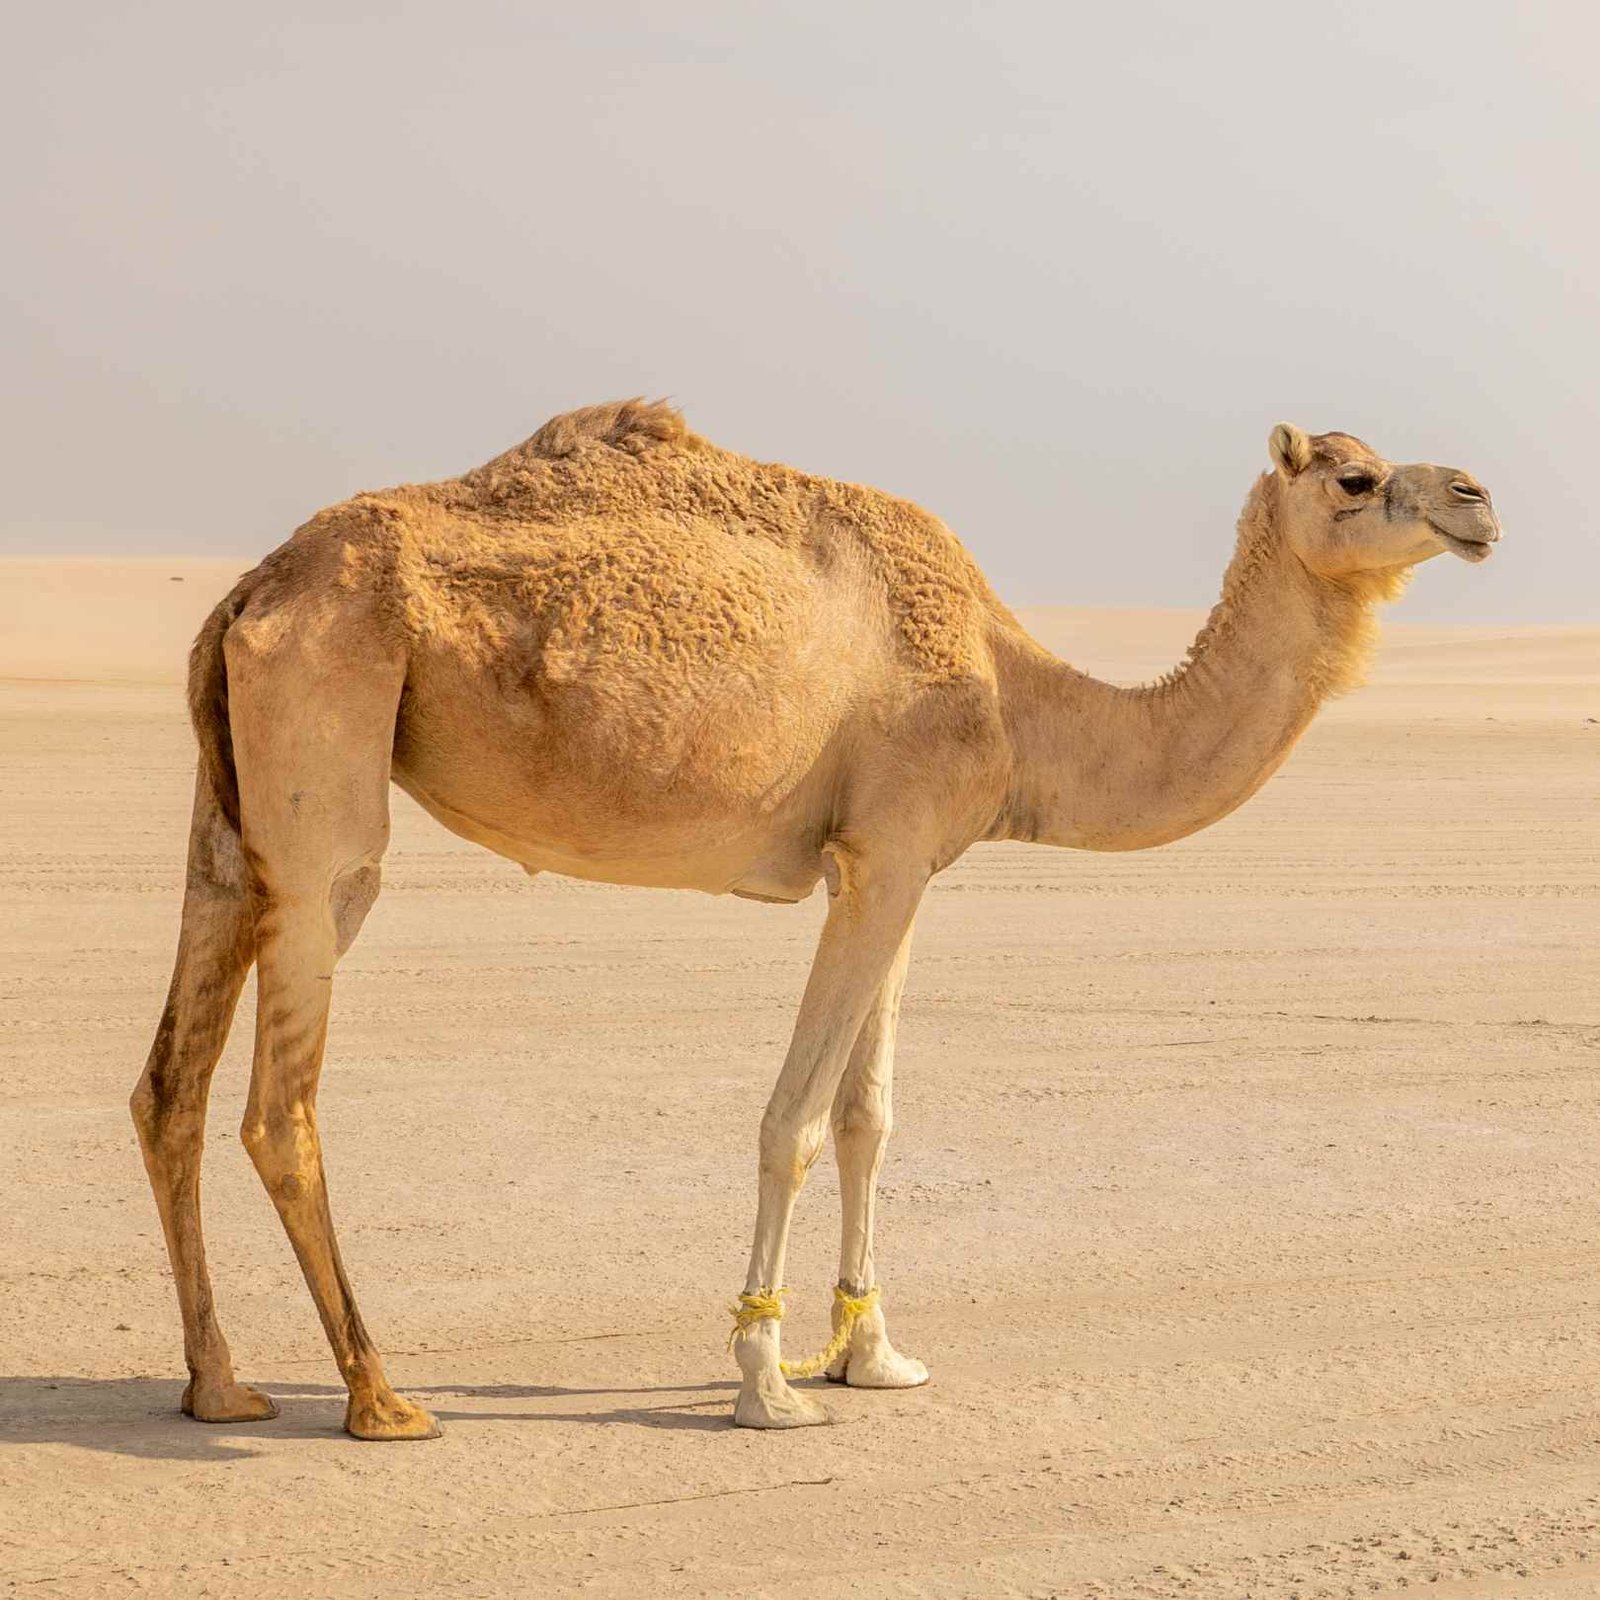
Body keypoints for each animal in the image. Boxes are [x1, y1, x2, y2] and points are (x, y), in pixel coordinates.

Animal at [130, 402, 1500, 1437]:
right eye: (1355, 475)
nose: (1479, 497)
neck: (1019, 701)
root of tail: (255, 588)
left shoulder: (888, 867)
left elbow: (866, 1114)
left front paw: (872, 1351)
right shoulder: (887, 850)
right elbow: (790, 1120)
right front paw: (764, 1381)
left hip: (230, 802)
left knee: (171, 1079)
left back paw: (220, 1384)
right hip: (331, 741)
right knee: (282, 1090)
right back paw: (380, 1395)